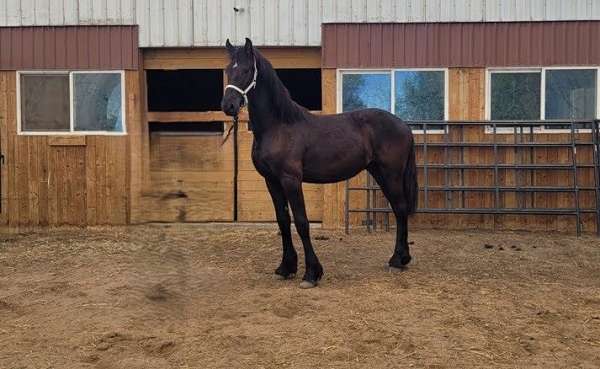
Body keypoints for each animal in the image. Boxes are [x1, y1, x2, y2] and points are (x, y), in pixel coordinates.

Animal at [221, 38, 418, 288]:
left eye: (246, 70)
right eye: (228, 70)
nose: (228, 106)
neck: (280, 126)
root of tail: (404, 126)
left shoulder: (291, 180)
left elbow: (302, 222)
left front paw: (311, 274)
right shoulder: (272, 181)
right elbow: (283, 220)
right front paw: (286, 267)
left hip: (391, 174)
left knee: (400, 209)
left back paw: (397, 260)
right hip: (379, 173)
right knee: (398, 209)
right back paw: (400, 259)